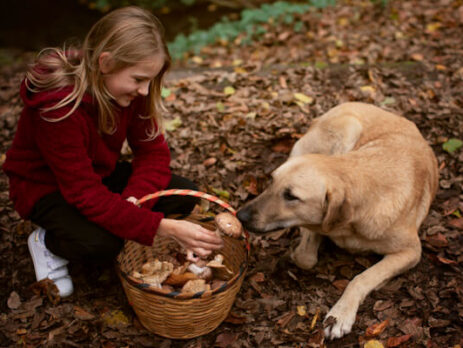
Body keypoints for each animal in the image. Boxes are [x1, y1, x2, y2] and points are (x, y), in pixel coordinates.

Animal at [237, 102, 440, 338]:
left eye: (291, 196)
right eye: (271, 181)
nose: (240, 216)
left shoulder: (411, 251)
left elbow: (362, 278)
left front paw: (341, 314)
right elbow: (306, 255)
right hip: (348, 128)